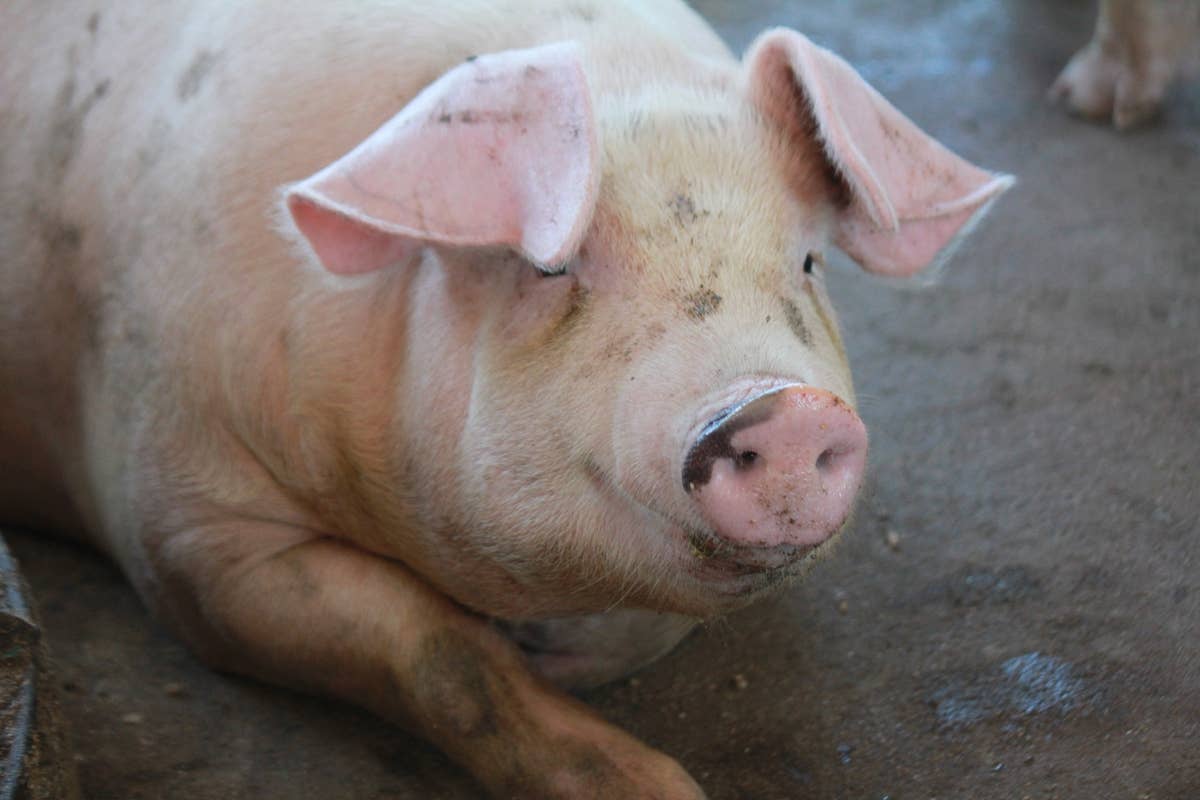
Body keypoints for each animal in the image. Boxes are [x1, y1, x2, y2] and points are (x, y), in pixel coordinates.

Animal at [0, 1, 1011, 796]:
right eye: (550, 269)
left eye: (806, 262)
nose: (787, 408)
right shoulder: (181, 524)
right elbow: (443, 653)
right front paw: (661, 788)